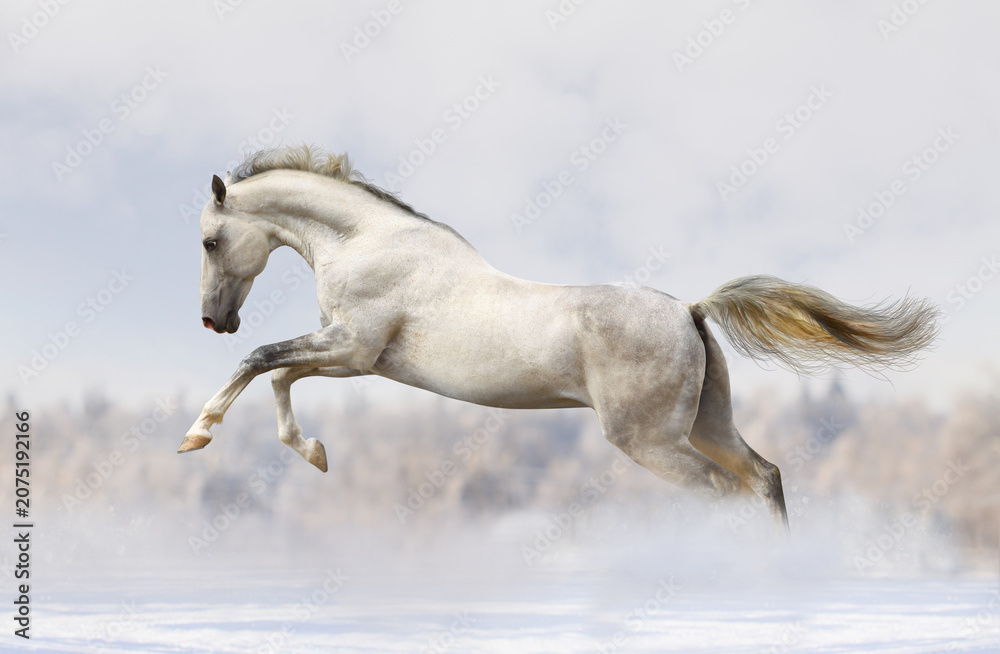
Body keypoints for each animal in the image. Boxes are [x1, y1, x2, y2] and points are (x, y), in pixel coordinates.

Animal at [179, 145, 939, 530]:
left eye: (212, 240)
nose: (214, 320)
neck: (369, 242)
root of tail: (690, 311)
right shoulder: (353, 357)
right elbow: (279, 374)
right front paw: (314, 454)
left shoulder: (353, 349)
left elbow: (261, 361)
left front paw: (197, 435)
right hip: (707, 423)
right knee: (763, 478)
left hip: (650, 440)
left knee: (724, 493)